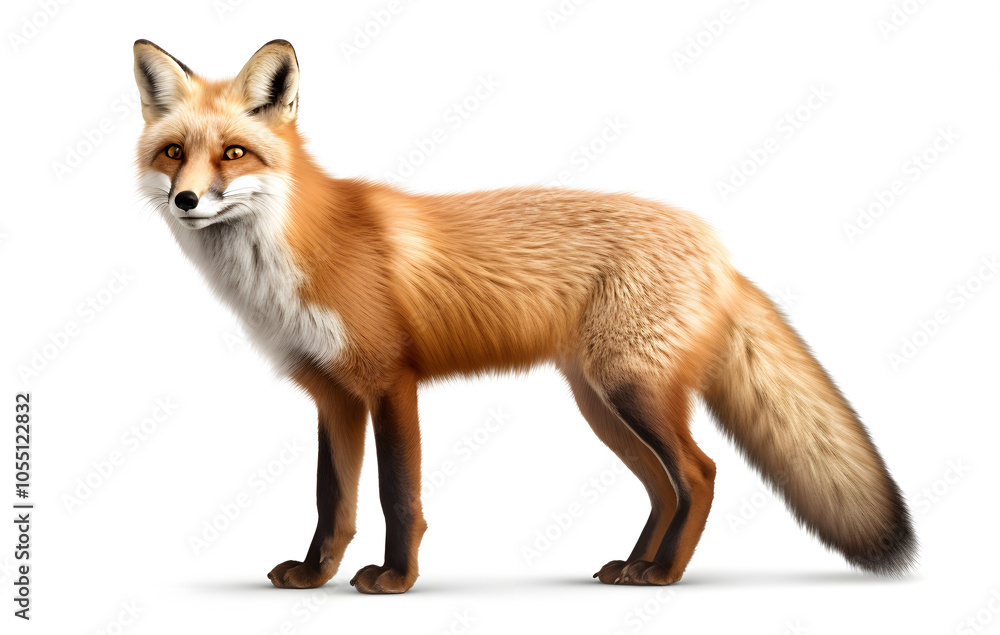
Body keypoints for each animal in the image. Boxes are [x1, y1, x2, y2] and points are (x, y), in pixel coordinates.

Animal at [133, 39, 915, 593]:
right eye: (173, 153)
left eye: (234, 153)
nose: (186, 200)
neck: (290, 256)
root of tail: (716, 247)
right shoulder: (334, 394)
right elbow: (334, 501)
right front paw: (315, 575)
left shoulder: (390, 382)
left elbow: (395, 494)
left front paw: (396, 580)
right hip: (601, 404)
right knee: (663, 486)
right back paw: (634, 567)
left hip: (632, 391)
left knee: (699, 473)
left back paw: (665, 575)